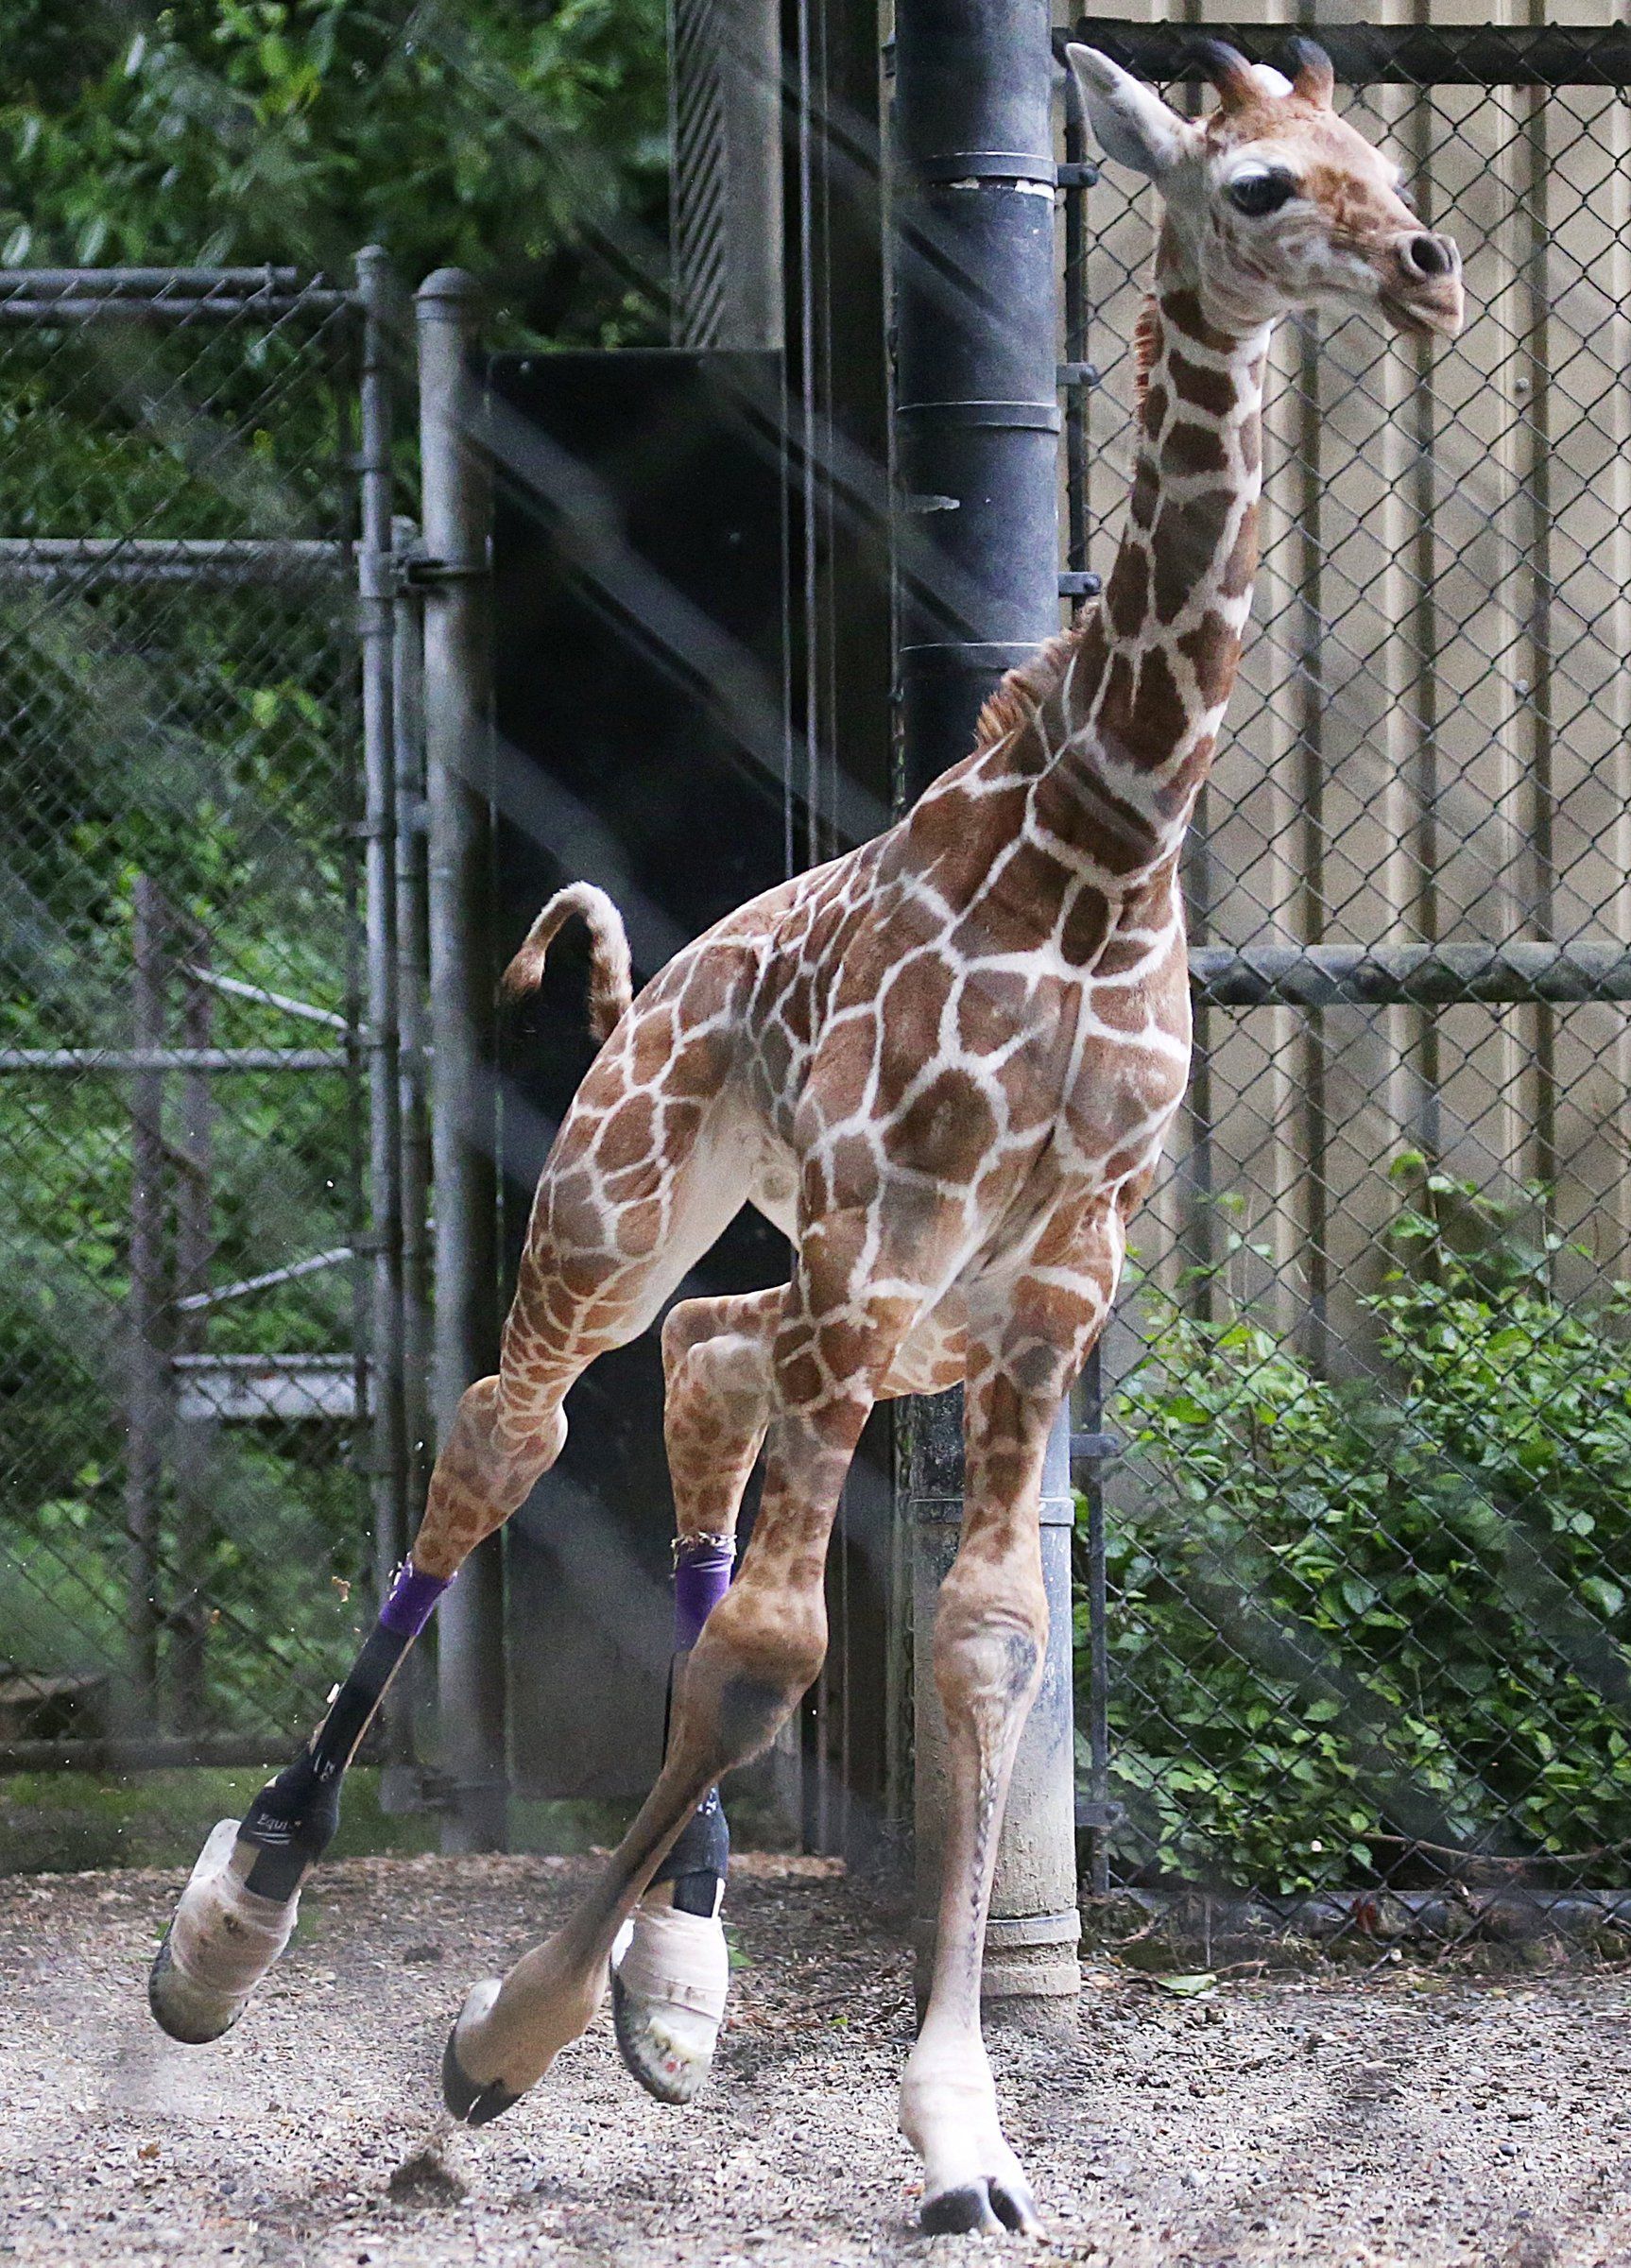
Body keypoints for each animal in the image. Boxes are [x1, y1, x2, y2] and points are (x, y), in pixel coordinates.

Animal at [153, 43, 1469, 2241]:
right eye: (1262, 186)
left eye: (1375, 160)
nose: (1428, 268)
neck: (1104, 846)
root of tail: (654, 985)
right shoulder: (900, 1218)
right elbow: (776, 1647)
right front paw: (500, 2039)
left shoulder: (1056, 1272)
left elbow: (983, 1646)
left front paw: (957, 2135)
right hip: (627, 1212)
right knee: (510, 1436)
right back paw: (237, 1917)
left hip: (854, 1294)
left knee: (704, 1374)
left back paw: (677, 1969)